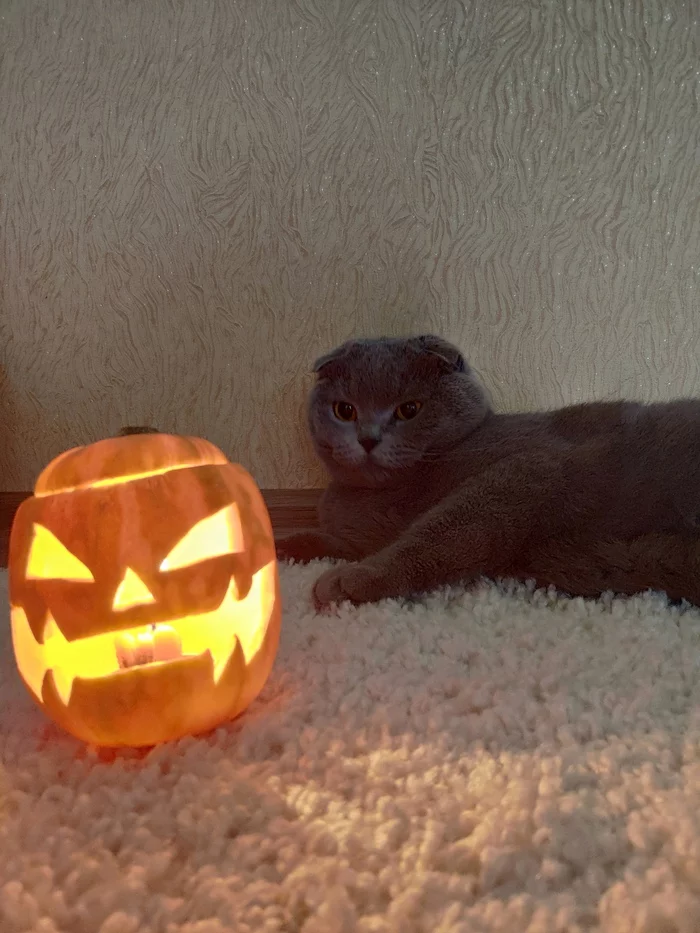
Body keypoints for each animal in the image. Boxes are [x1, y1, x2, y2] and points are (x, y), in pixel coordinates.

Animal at [274, 334, 700, 612]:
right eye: (344, 410)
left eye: (409, 409)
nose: (367, 438)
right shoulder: (355, 536)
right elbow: (322, 539)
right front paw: (279, 546)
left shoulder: (524, 472)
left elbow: (435, 535)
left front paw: (351, 580)